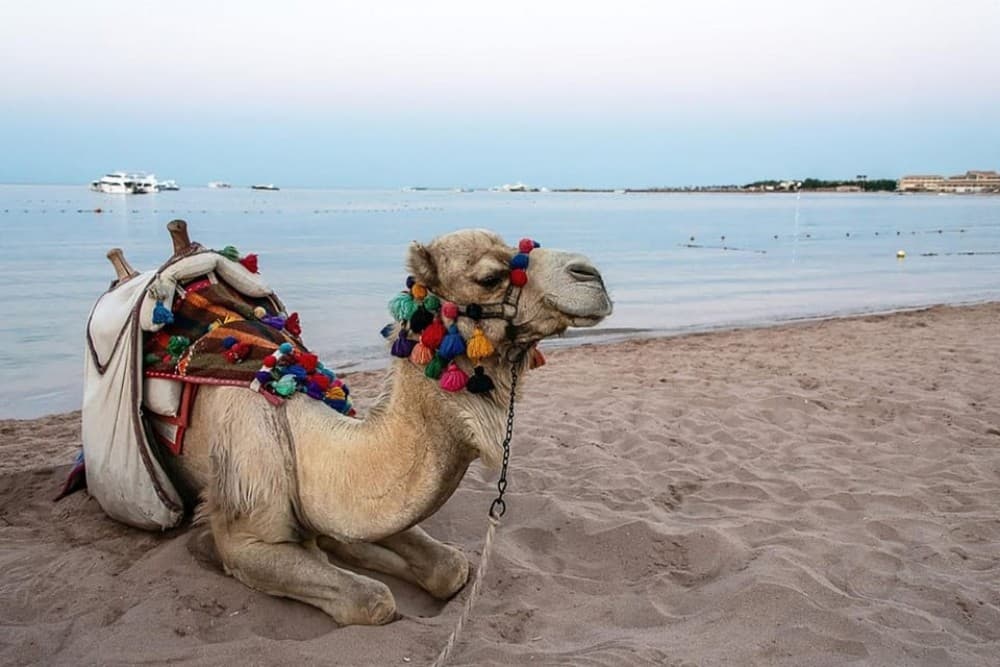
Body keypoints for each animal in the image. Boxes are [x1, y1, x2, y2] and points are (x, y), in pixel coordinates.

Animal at [153, 228, 612, 625]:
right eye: (488, 278)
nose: (591, 274)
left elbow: (449, 566)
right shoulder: (245, 533)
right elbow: (373, 599)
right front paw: (206, 545)